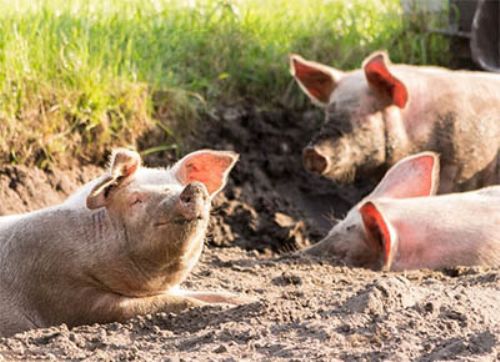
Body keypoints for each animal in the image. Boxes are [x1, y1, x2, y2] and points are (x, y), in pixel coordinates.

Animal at [0, 147, 246, 336]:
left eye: (178, 187)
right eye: (136, 200)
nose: (194, 187)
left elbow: (203, 293)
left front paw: (245, 299)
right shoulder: (64, 294)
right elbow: (166, 303)